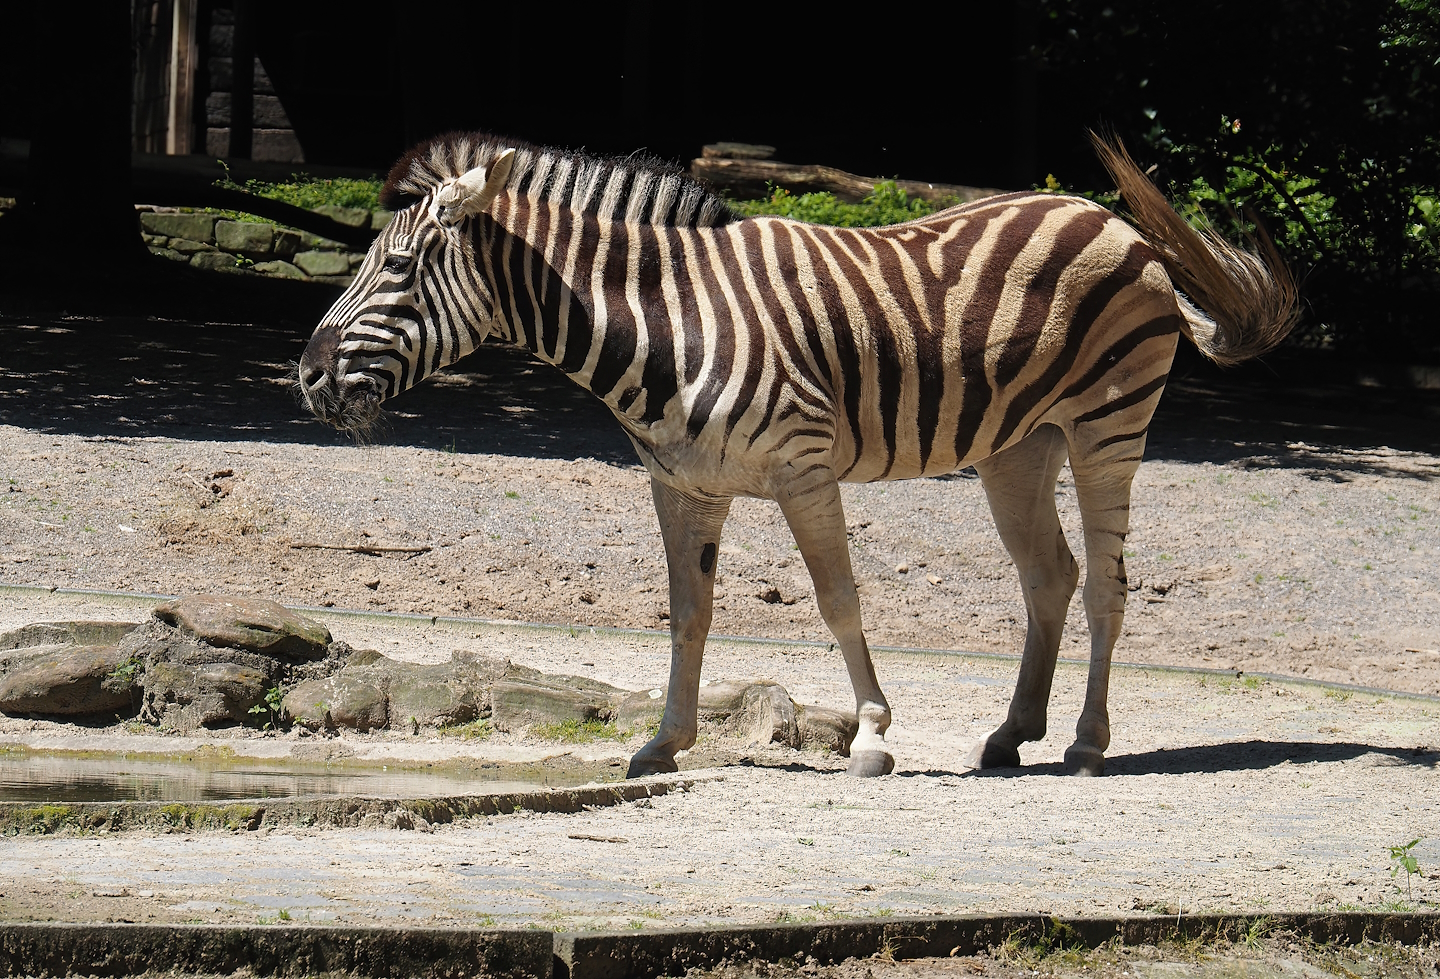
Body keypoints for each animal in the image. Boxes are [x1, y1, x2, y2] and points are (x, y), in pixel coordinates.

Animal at [297, 131, 1296, 778]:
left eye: (397, 269)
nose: (304, 376)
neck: (665, 322)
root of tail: (1115, 222)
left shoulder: (803, 467)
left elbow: (838, 599)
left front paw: (872, 736)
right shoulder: (682, 484)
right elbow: (688, 613)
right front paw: (665, 742)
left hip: (1107, 429)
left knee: (1107, 587)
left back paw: (1088, 743)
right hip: (1019, 445)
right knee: (1050, 575)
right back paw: (1013, 735)